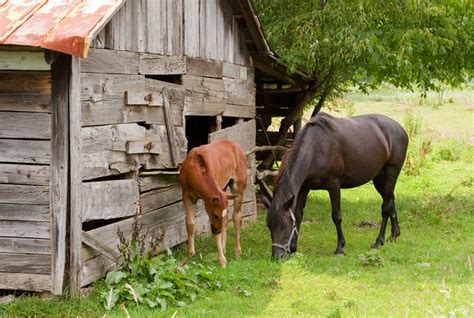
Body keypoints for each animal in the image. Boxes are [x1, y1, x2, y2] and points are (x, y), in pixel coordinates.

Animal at [179, 140, 248, 268]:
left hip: (238, 187)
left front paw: (222, 261)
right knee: (227, 217)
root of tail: (235, 145)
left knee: (236, 216)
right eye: (215, 215)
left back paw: (237, 251)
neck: (193, 170)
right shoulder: (187, 196)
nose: (217, 230)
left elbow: (215, 233)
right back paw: (224, 248)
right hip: (224, 188)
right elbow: (190, 224)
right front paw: (188, 257)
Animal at [266, 113, 408, 260]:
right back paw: (393, 235)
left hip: (391, 174)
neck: (316, 147)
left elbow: (336, 216)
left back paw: (379, 242)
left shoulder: (333, 185)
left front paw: (340, 248)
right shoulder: (304, 188)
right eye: (269, 227)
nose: (277, 257)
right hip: (379, 179)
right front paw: (294, 247)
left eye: (284, 226)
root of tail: (400, 129)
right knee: (390, 202)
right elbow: (298, 215)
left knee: (385, 208)